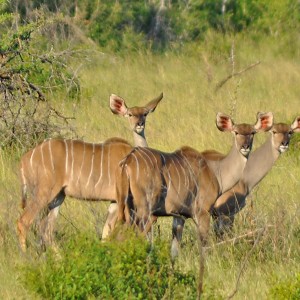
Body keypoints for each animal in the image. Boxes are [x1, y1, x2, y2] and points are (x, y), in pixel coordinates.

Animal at [17, 92, 163, 251]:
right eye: (130, 114)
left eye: (145, 114)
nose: (139, 124)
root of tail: (24, 159)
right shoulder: (124, 200)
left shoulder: (114, 201)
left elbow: (106, 232)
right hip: (43, 192)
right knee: (24, 222)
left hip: (58, 197)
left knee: (47, 230)